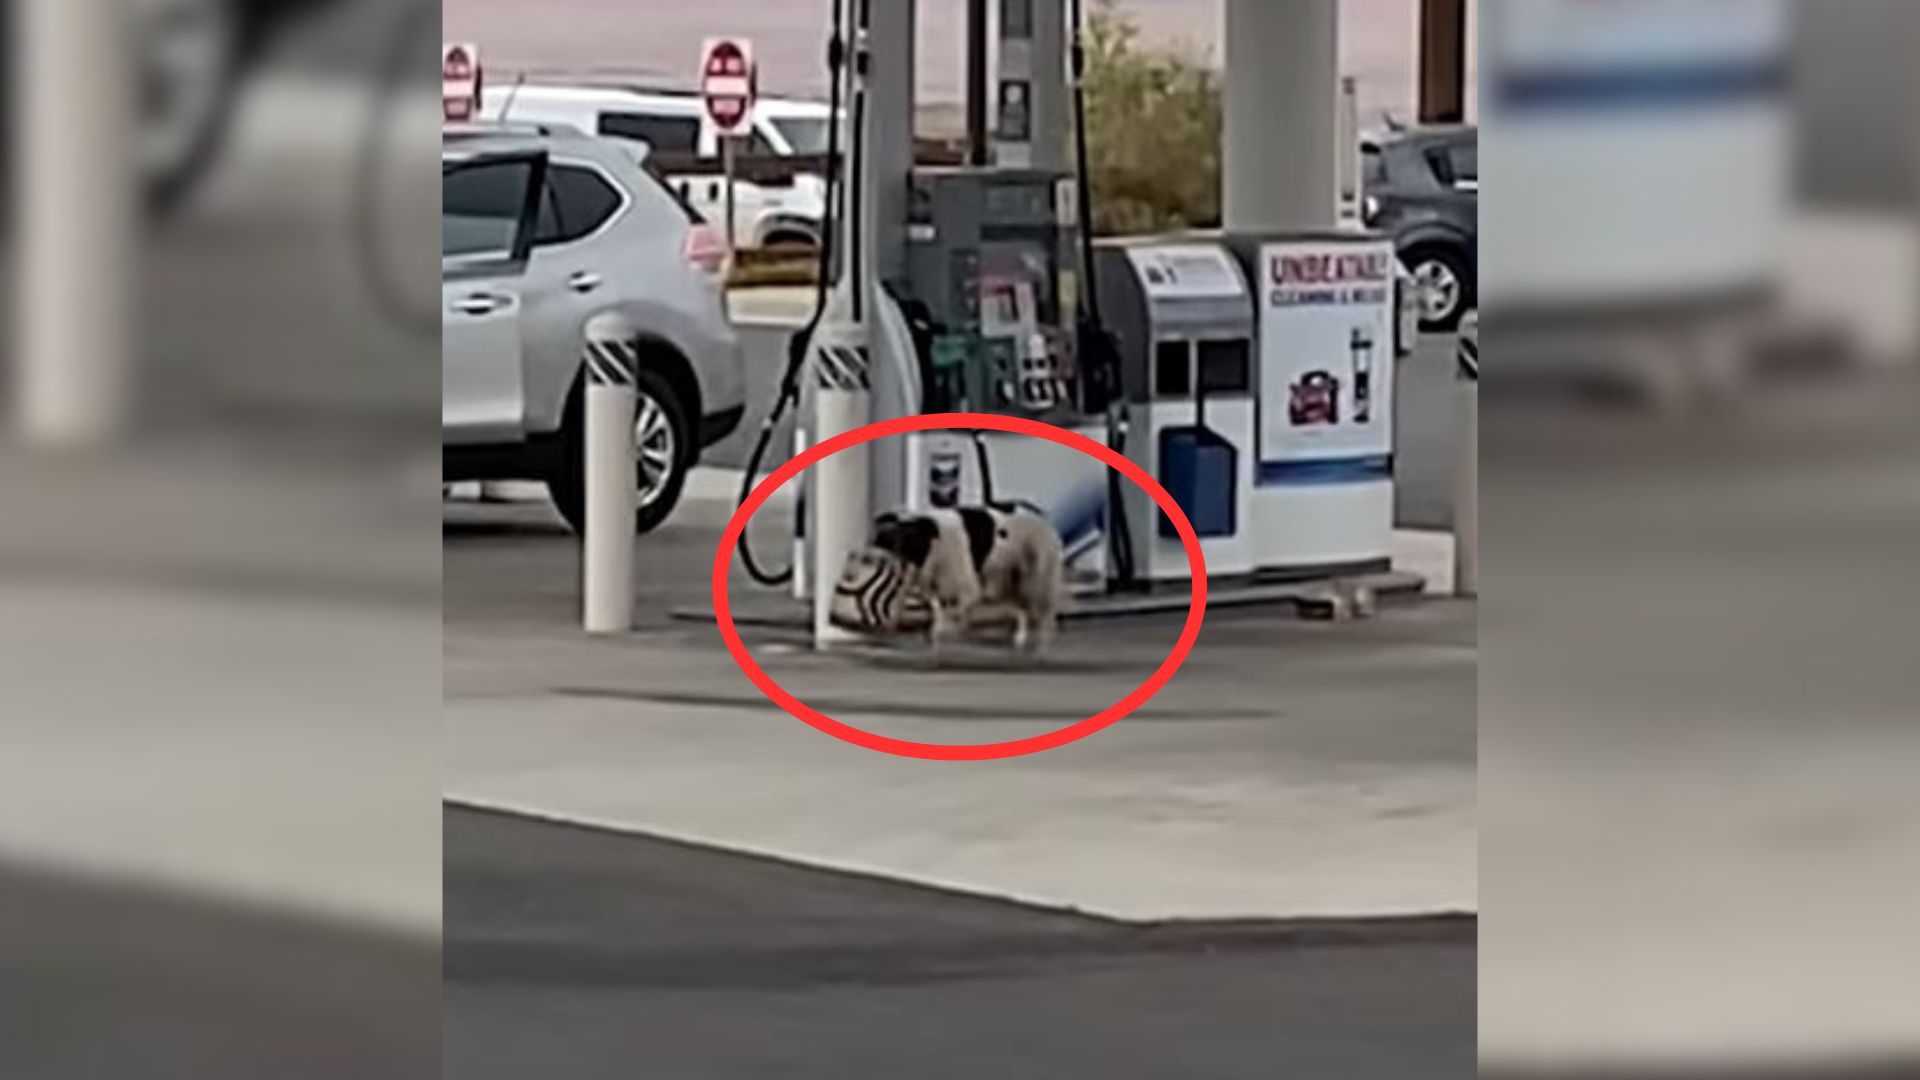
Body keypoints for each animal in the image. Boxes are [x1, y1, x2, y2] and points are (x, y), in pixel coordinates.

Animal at [864, 503, 1075, 645]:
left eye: (907, 543)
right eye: (884, 541)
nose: (872, 558)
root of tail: (1041, 516)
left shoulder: (970, 589)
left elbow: (956, 610)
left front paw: (949, 629)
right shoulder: (933, 586)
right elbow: (938, 607)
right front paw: (939, 629)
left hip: (1039, 576)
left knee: (1046, 610)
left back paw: (1043, 638)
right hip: (1011, 579)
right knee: (1021, 608)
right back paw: (1020, 637)